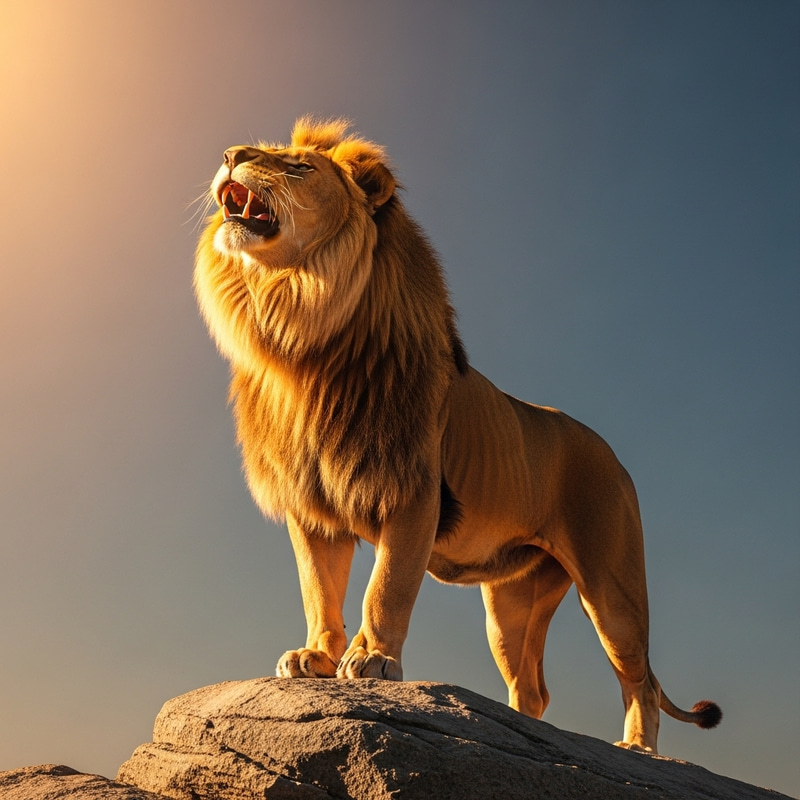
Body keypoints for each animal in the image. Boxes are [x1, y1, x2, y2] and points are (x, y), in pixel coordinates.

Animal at [194, 117, 721, 753]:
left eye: (299, 167)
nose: (229, 154)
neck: (299, 331)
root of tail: (613, 455)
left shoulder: (412, 492)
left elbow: (386, 587)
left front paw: (371, 661)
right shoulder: (313, 509)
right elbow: (318, 590)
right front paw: (316, 657)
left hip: (611, 585)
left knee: (639, 676)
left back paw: (636, 747)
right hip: (511, 604)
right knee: (533, 687)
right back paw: (523, 735)